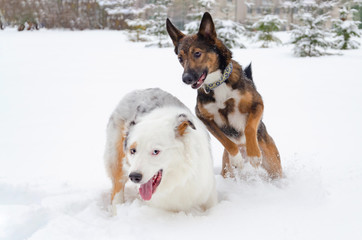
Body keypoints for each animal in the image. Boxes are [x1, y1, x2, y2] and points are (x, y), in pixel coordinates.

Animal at [167, 12, 282, 178]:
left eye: (197, 53)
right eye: (180, 58)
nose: (186, 78)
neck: (218, 83)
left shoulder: (257, 104)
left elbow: (249, 128)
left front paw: (254, 155)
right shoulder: (204, 118)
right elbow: (226, 141)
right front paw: (237, 159)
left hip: (274, 166)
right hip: (227, 170)